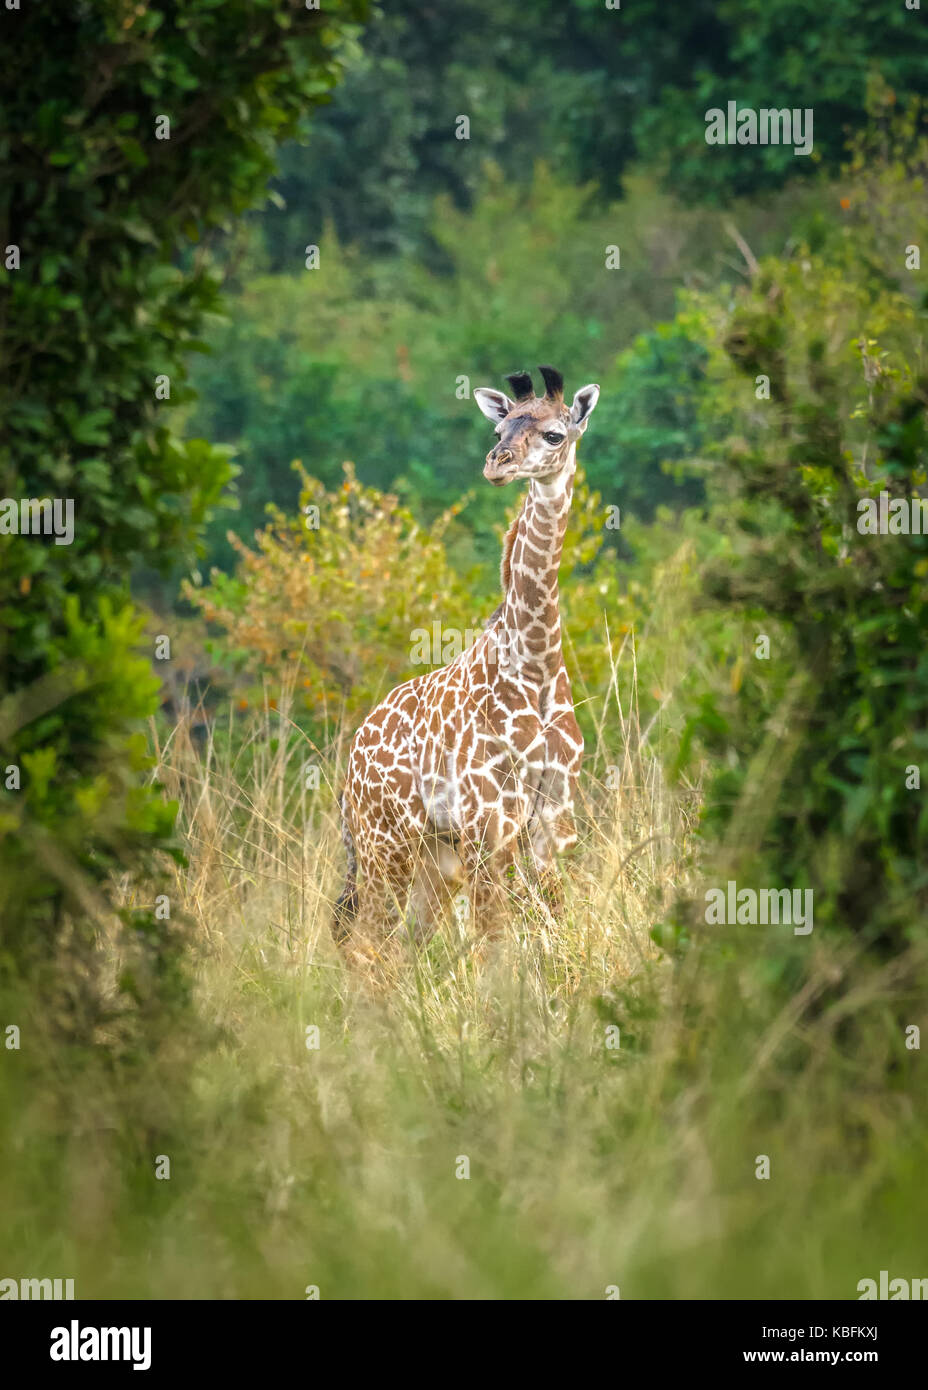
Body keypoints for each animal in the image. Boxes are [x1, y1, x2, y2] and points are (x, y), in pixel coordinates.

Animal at [334, 364, 602, 945]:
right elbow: (495, 938)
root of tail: (350, 766)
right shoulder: (490, 821)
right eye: (499, 430)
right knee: (368, 943)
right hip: (385, 844)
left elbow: (554, 924)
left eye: (555, 434)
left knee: (405, 942)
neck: (537, 665)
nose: (497, 464)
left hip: (432, 858)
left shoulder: (554, 820)